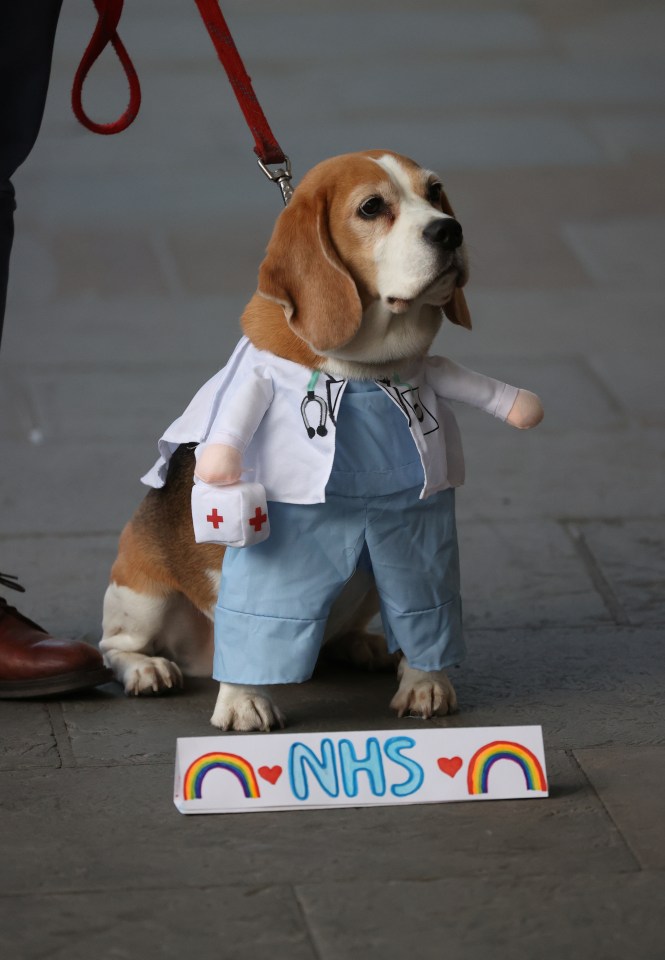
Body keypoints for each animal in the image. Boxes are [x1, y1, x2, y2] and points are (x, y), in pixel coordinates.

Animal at [100, 154, 544, 732]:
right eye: (371, 207)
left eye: (435, 191)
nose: (450, 230)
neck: (365, 374)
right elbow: (255, 618)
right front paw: (243, 702)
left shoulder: (419, 535)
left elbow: (426, 609)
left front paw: (426, 683)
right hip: (143, 591)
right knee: (116, 646)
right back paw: (147, 669)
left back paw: (366, 647)